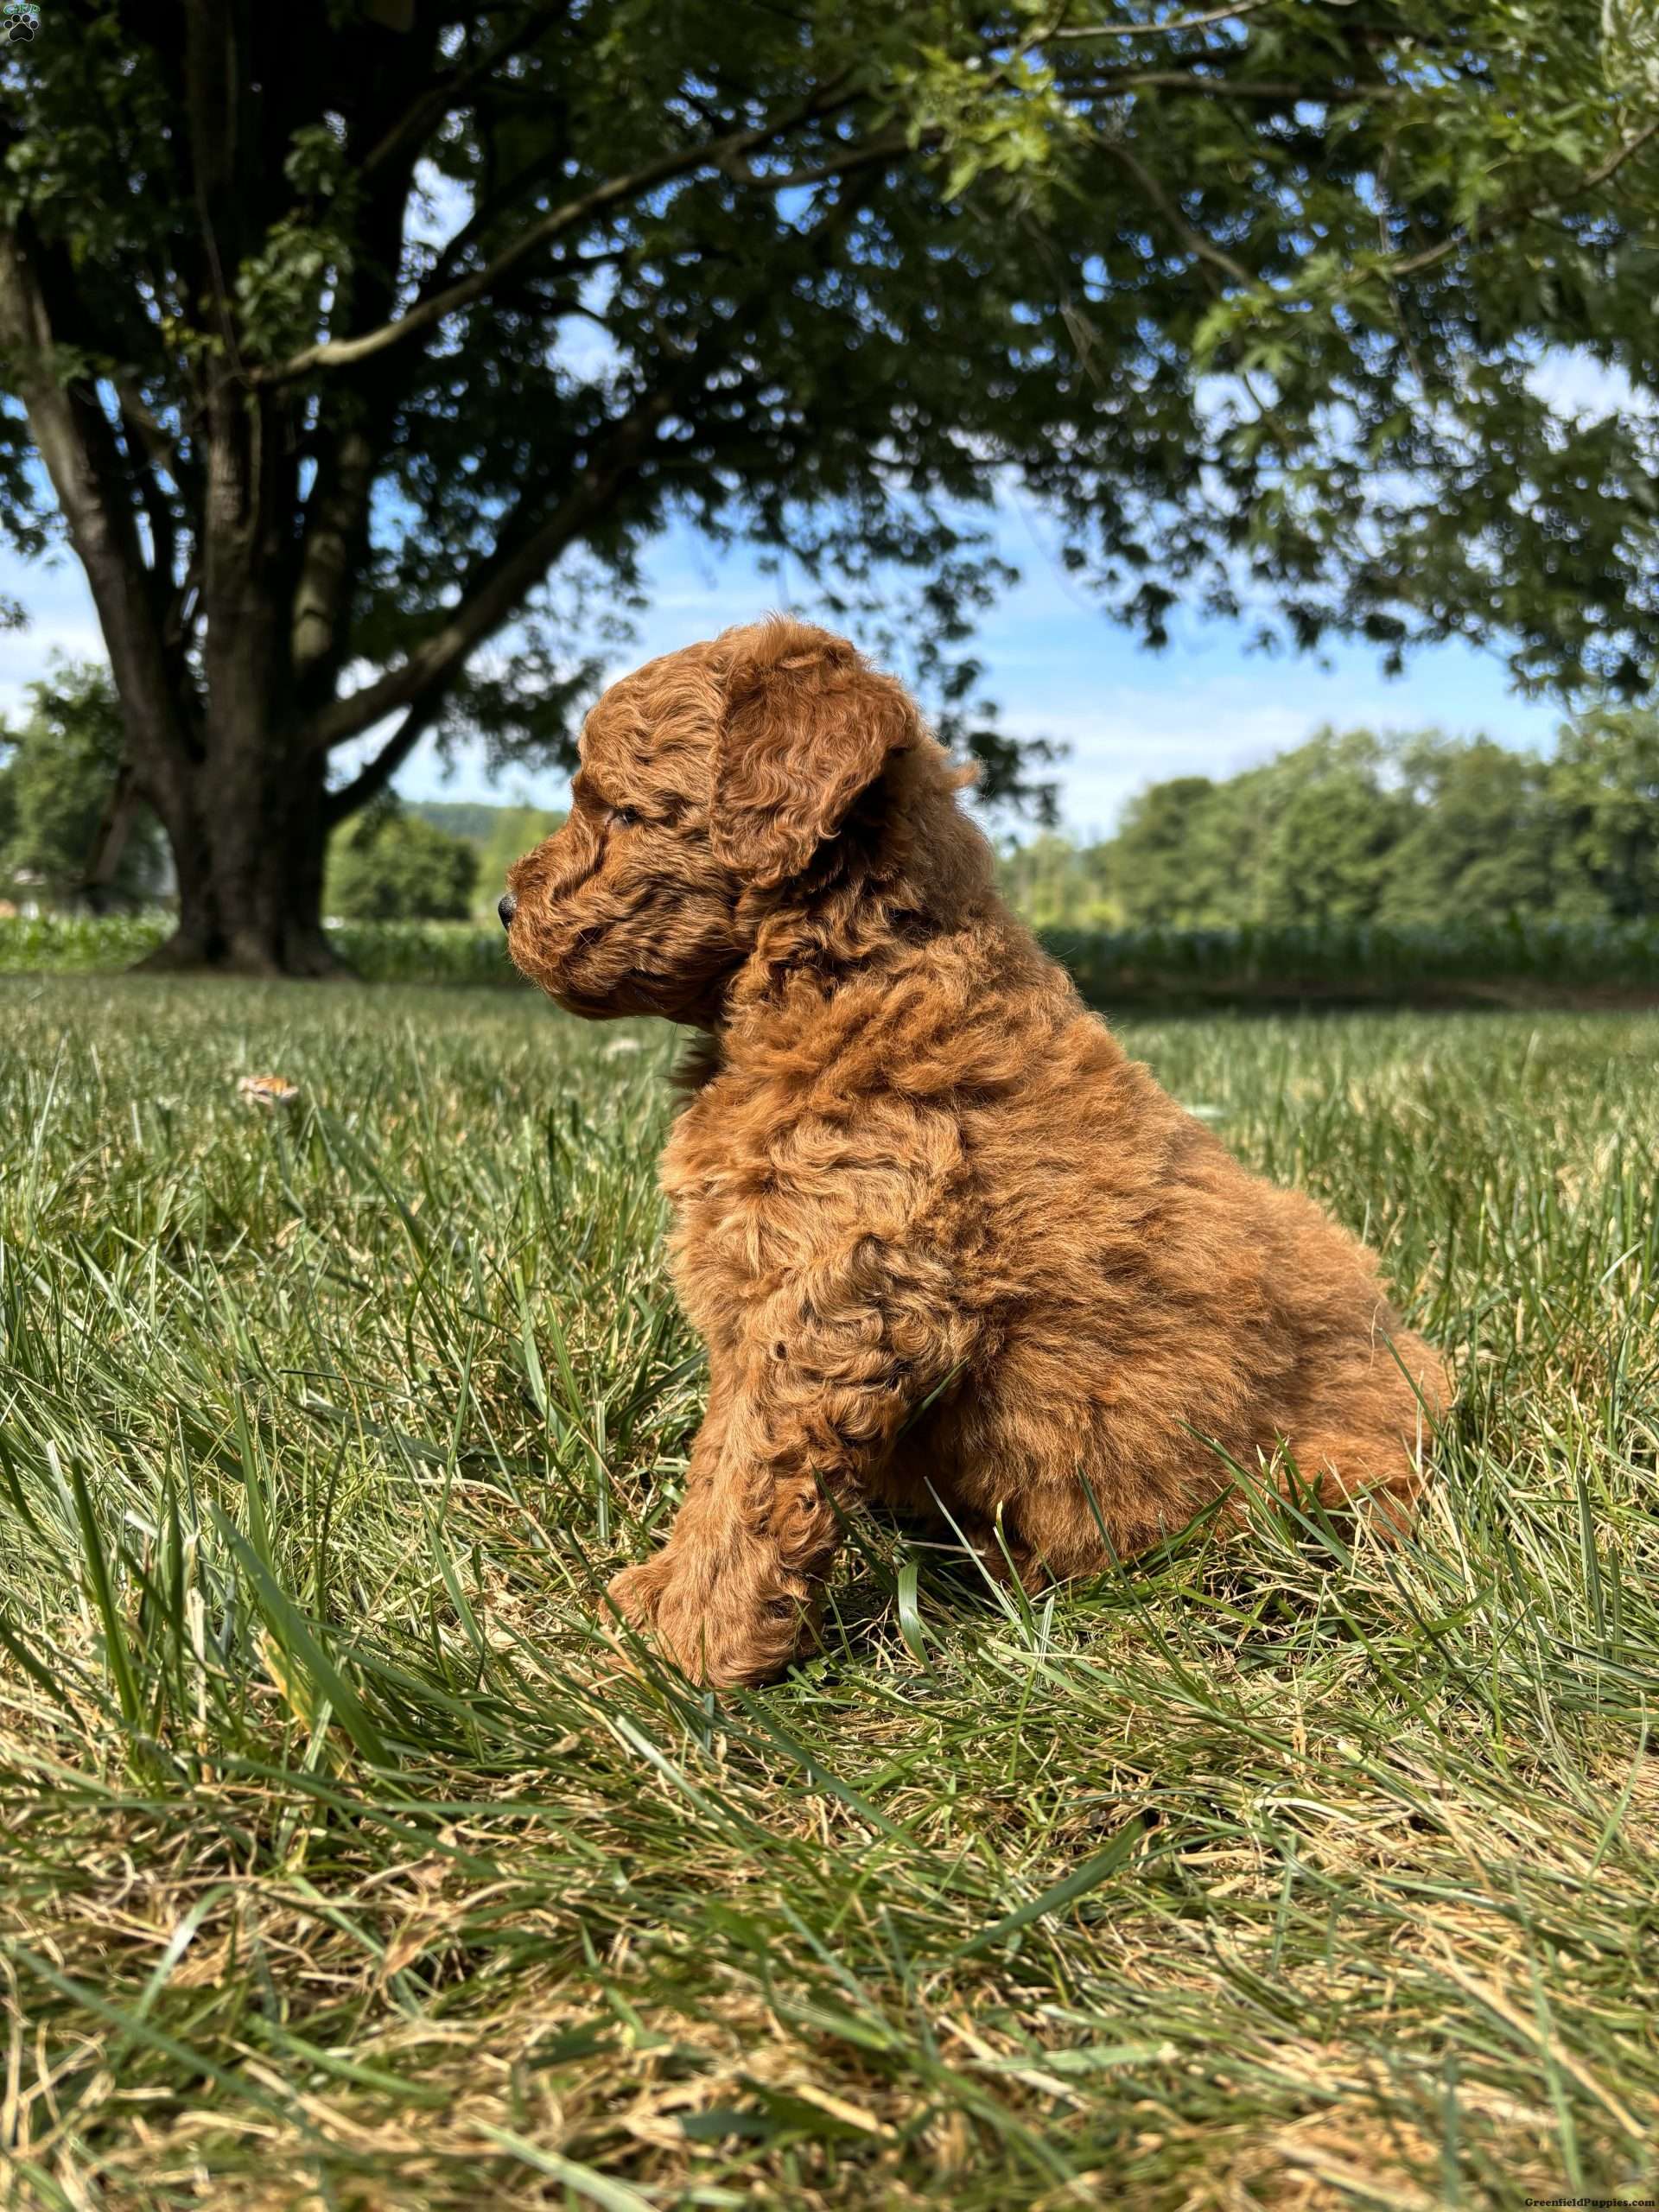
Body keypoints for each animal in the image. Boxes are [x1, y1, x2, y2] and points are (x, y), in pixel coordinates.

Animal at [499, 614, 1451, 1681]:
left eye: (622, 812)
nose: (504, 909)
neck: (847, 970)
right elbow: (724, 1454)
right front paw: (664, 1601)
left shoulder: (835, 1300)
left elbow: (745, 1474)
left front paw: (688, 1643)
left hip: (1315, 1476)